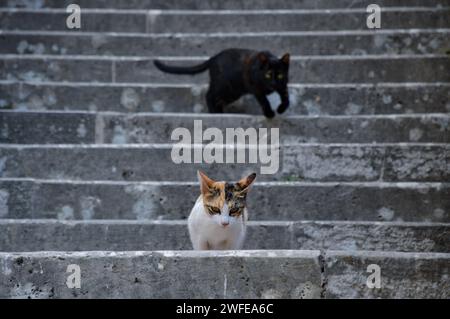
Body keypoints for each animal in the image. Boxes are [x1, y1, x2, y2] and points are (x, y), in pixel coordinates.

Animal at [153, 47, 290, 117]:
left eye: (280, 75)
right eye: (268, 75)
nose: (273, 83)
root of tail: (213, 58)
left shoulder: (283, 85)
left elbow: (286, 99)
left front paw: (281, 109)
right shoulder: (256, 88)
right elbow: (264, 101)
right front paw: (269, 113)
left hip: (233, 91)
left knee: (218, 99)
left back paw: (219, 112)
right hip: (223, 86)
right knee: (209, 95)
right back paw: (214, 113)